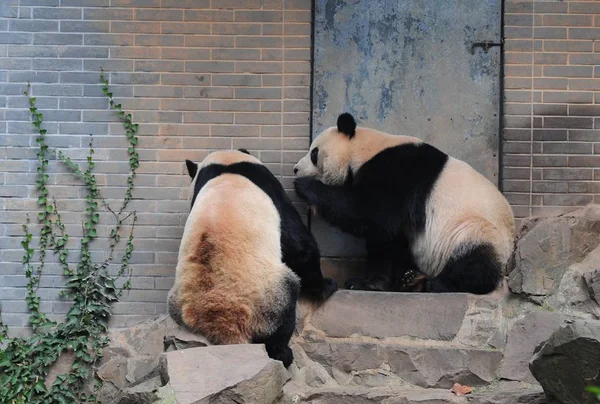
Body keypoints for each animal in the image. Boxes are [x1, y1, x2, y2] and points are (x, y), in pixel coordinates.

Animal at [168, 148, 338, 366]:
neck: (226, 165)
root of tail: (222, 325)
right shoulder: (271, 189)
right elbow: (300, 246)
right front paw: (326, 286)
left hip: (178, 303)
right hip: (266, 298)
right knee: (285, 307)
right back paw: (282, 353)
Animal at [292, 112, 512, 296]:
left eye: (314, 153)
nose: (295, 169)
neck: (363, 150)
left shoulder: (398, 172)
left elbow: (371, 213)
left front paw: (305, 186)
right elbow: (387, 239)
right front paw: (372, 283)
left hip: (475, 230)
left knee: (475, 260)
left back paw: (438, 283)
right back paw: (411, 279)